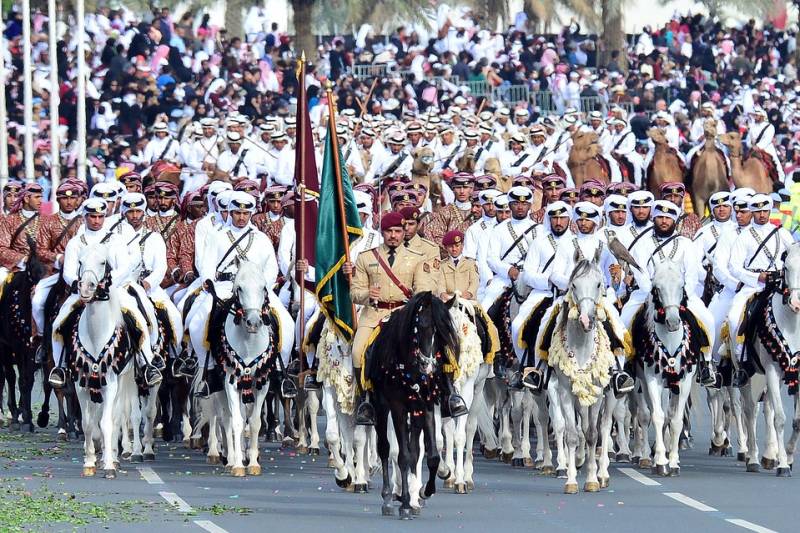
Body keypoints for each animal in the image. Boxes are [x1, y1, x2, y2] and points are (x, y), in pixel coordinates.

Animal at [366, 290, 460, 520]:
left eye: (443, 333)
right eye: (422, 326)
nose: (428, 366)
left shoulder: (425, 406)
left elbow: (430, 455)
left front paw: (425, 491)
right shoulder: (398, 407)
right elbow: (403, 456)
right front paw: (406, 504)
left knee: (415, 449)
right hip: (381, 407)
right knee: (385, 448)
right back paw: (389, 498)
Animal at [548, 256, 616, 492]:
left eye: (598, 284)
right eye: (574, 285)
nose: (587, 320)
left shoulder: (598, 393)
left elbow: (593, 433)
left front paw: (592, 479)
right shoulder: (563, 391)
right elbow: (570, 432)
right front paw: (570, 479)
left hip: (610, 394)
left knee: (603, 427)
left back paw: (602, 472)